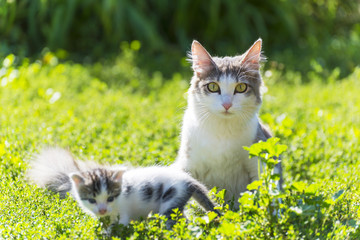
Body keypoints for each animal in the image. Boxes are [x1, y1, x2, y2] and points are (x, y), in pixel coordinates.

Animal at [26, 148, 218, 229]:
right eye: (91, 200)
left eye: (111, 198)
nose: (102, 210)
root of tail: (189, 181)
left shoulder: (123, 212)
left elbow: (119, 225)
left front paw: (110, 233)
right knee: (182, 217)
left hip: (171, 198)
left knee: (171, 219)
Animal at [173, 39, 282, 208]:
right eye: (212, 87)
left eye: (241, 87)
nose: (227, 105)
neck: (223, 131)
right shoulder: (188, 165)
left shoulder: (259, 162)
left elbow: (268, 194)